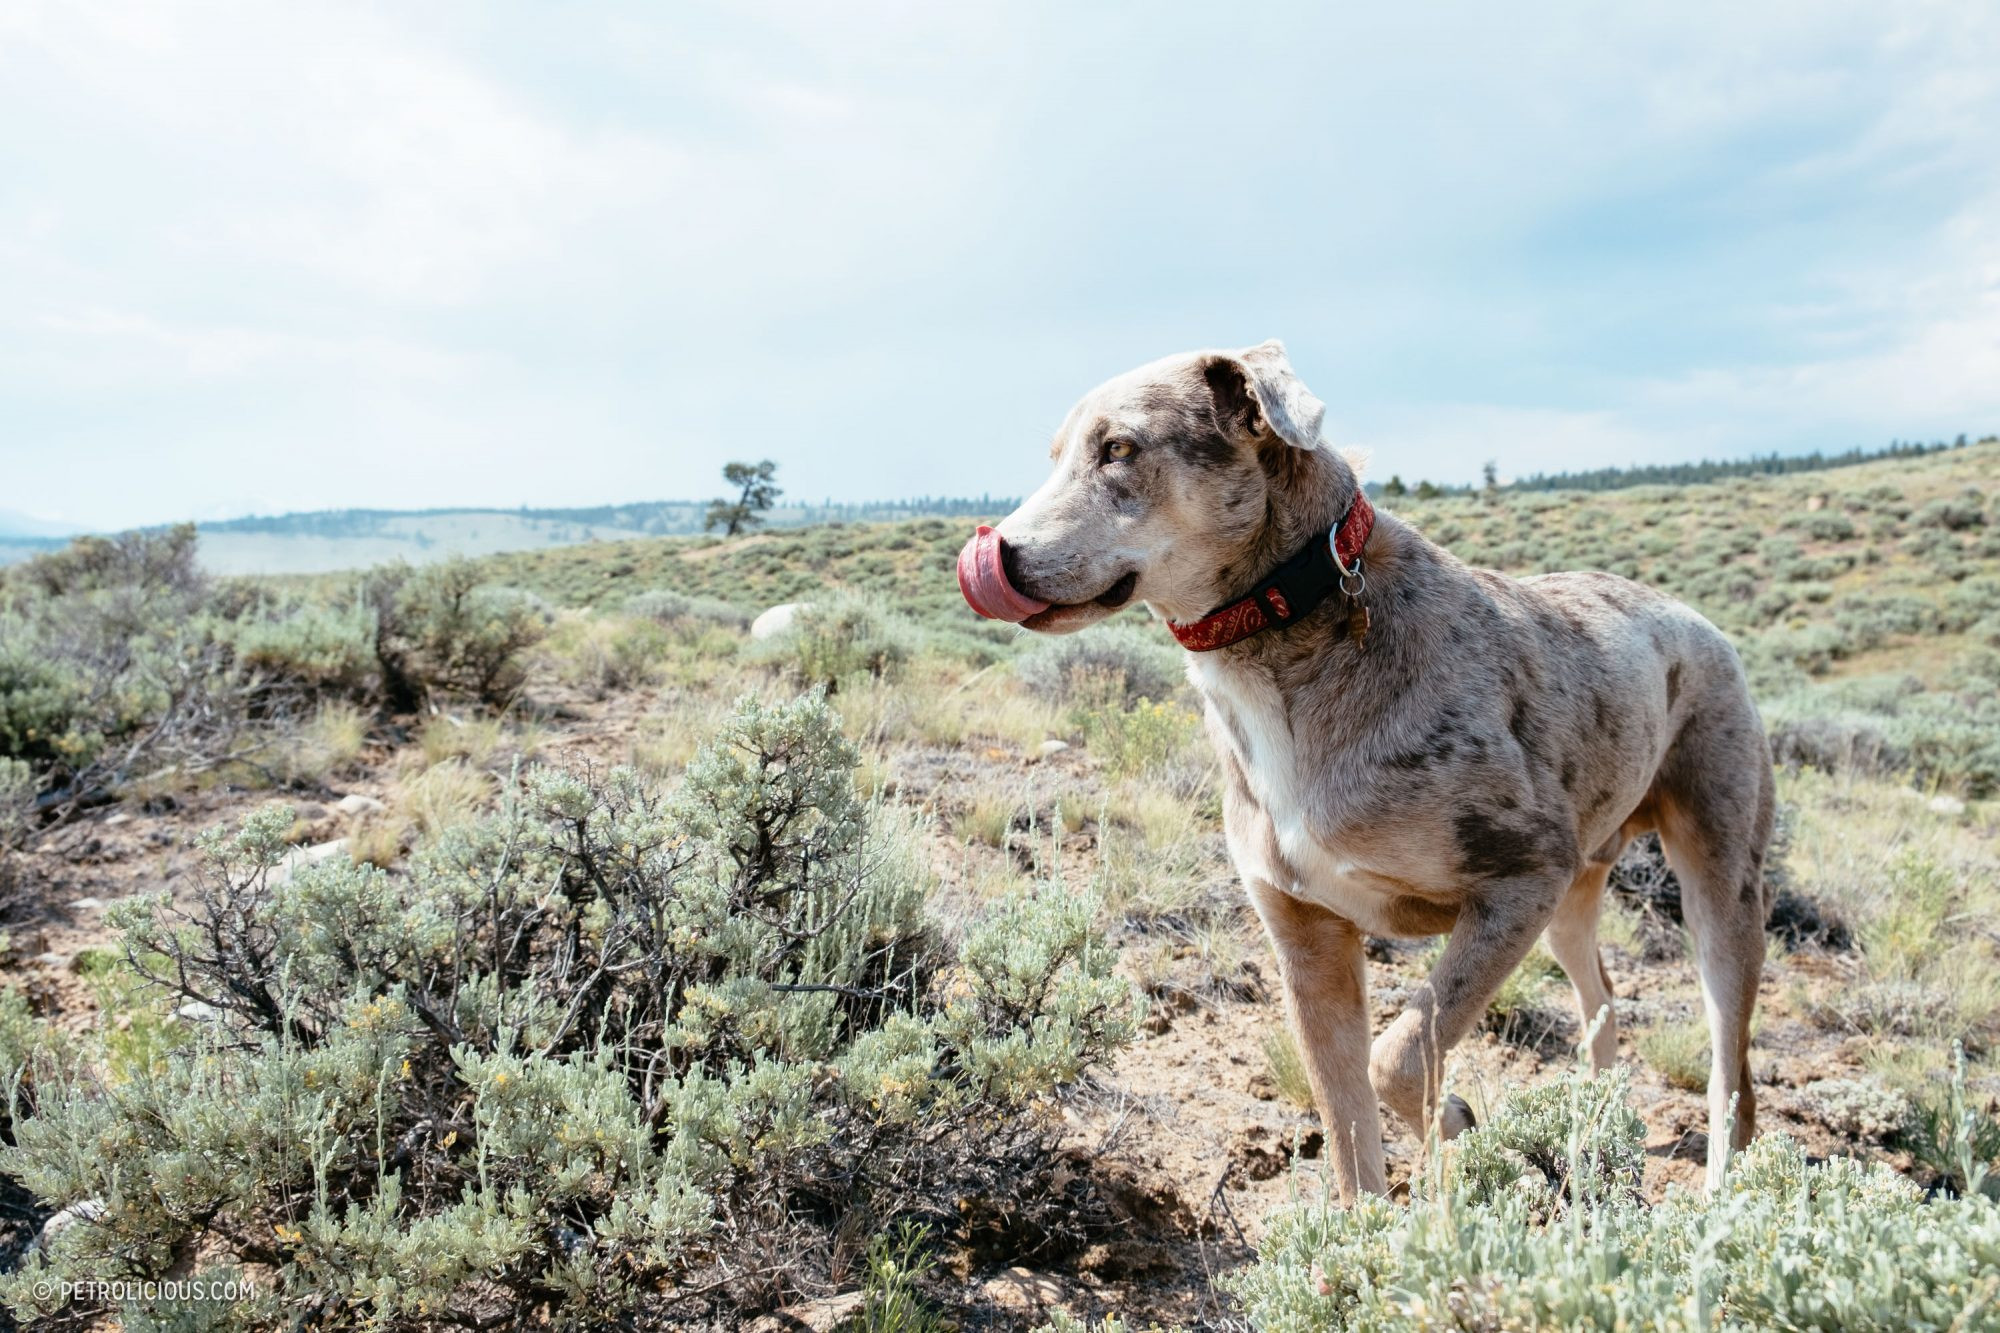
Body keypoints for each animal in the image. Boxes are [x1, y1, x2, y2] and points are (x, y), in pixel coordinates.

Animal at [960, 340, 1776, 1192]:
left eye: (1119, 448)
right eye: (1055, 454)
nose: (997, 551)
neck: (1294, 618)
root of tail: (1692, 617)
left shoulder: (1520, 879)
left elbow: (1401, 1054)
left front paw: (1457, 1121)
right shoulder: (1308, 939)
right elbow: (1351, 1136)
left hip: (1716, 880)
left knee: (1733, 1066)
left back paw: (1719, 1184)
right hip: (1575, 897)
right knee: (1605, 998)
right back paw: (1594, 1134)